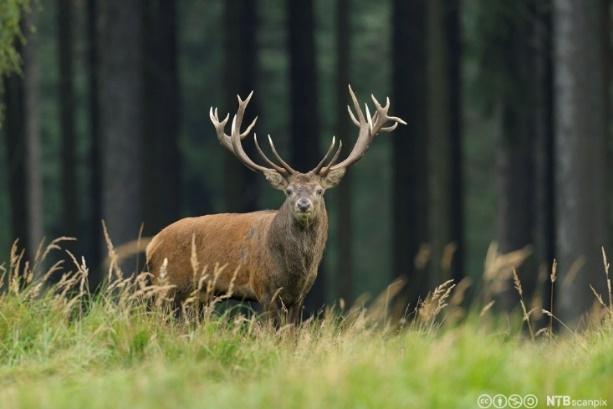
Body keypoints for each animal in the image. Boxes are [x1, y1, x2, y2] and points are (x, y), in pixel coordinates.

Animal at [145, 85, 404, 322]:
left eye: (319, 191)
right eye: (288, 191)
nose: (303, 205)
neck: (295, 271)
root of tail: (151, 245)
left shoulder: (300, 297)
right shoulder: (264, 290)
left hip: (197, 296)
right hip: (166, 286)